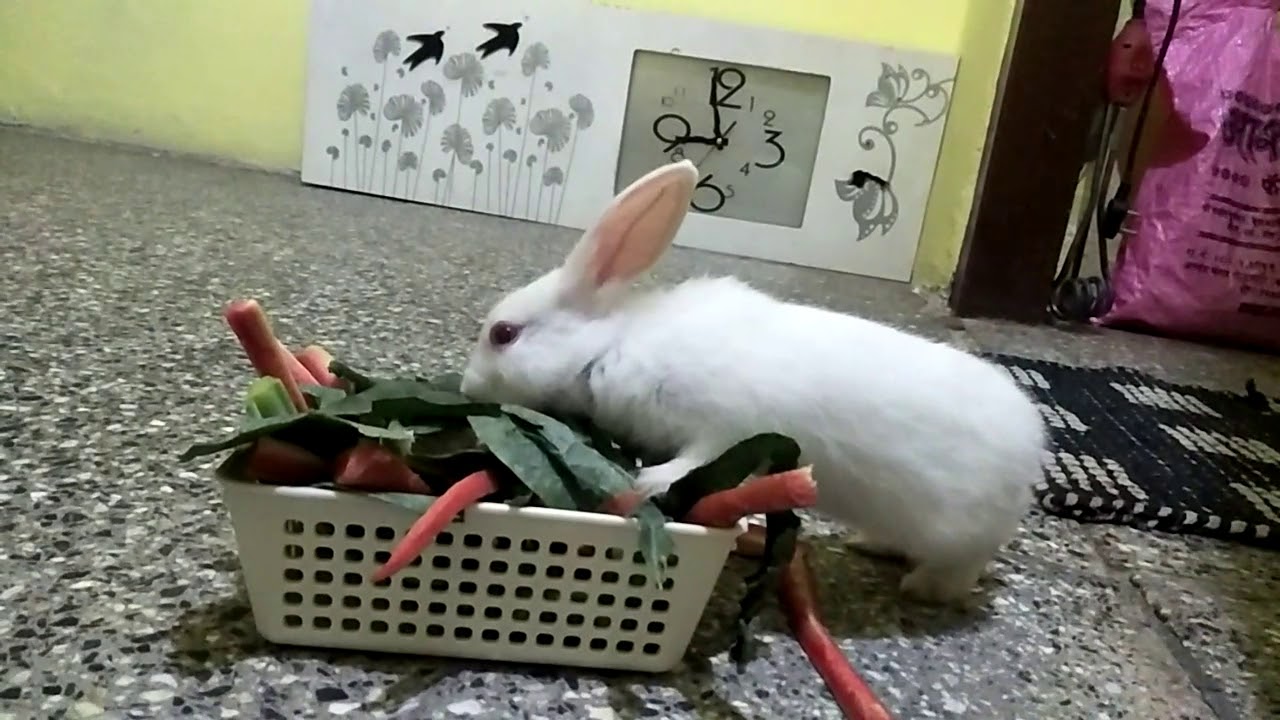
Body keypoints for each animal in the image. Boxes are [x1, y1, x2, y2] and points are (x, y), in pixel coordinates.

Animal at [459, 159, 1047, 604]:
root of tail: (1032, 447)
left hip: (957, 534)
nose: (467, 388)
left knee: (960, 568)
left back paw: (921, 588)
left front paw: (648, 481)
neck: (608, 347)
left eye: (504, 335)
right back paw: (871, 547)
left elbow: (693, 459)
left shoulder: (721, 425)